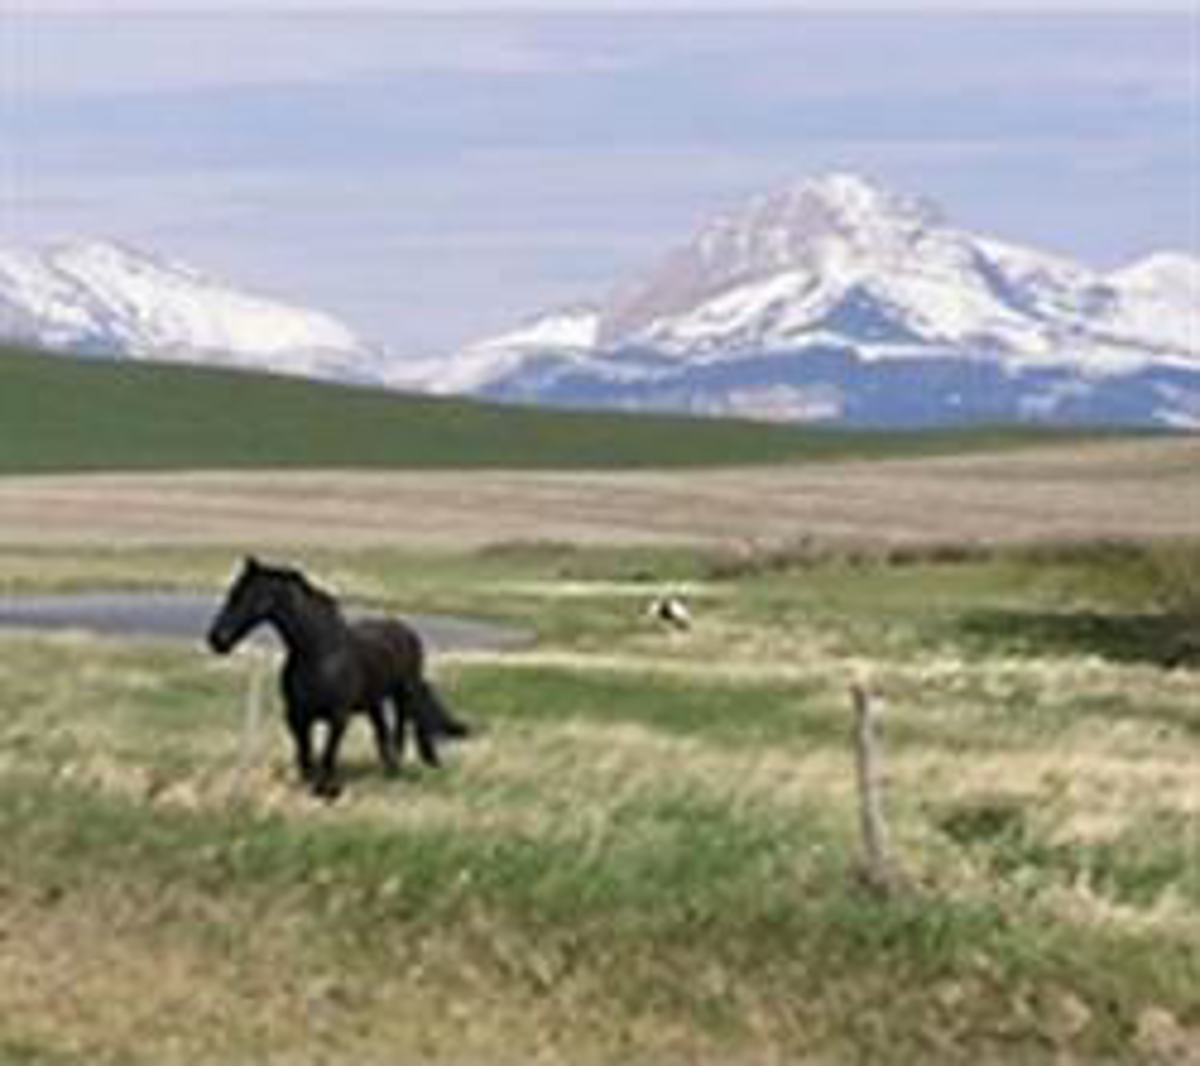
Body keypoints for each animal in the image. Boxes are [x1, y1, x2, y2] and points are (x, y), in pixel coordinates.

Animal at [206, 556, 468, 799]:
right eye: (232, 593)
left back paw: (404, 768)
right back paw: (389, 770)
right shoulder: (297, 718)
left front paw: (330, 791)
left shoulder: (338, 717)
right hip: (373, 704)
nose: (217, 639)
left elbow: (327, 755)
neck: (319, 654)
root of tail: (407, 632)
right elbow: (306, 757)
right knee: (382, 733)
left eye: (244, 596)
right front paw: (314, 789)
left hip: (405, 693)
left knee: (403, 727)